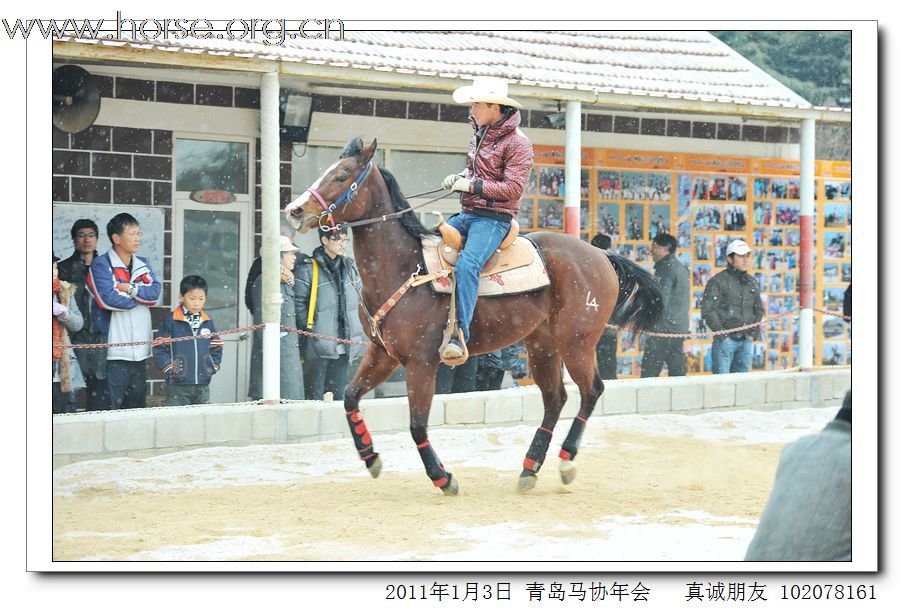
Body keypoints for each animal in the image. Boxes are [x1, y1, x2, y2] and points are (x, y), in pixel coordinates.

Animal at [290, 136, 664, 494]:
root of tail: (601, 255)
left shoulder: (422, 362)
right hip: (542, 345)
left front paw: (443, 478)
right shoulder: (383, 352)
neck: (404, 266)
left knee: (591, 391)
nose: (295, 210)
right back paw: (529, 469)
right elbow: (350, 396)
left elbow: (417, 425)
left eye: (342, 175)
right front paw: (370, 457)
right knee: (555, 398)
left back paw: (565, 461)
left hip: (576, 342)